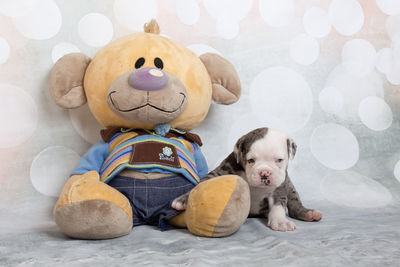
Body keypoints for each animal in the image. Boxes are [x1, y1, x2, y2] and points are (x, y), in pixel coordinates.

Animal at [172, 128, 322, 232]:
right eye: (251, 160)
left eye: (279, 160)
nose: (265, 173)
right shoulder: (222, 171)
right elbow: (202, 184)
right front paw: (184, 199)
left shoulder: (279, 188)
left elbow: (279, 205)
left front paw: (280, 222)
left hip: (290, 187)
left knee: (294, 204)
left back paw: (309, 213)